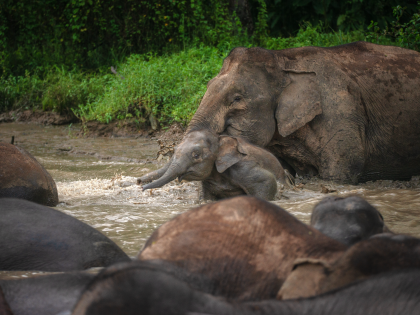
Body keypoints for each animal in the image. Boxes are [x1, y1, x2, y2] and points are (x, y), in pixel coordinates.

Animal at [139, 130, 288, 200]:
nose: (141, 186)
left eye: (196, 155)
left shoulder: (244, 168)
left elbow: (266, 180)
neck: (220, 138)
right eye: (174, 150)